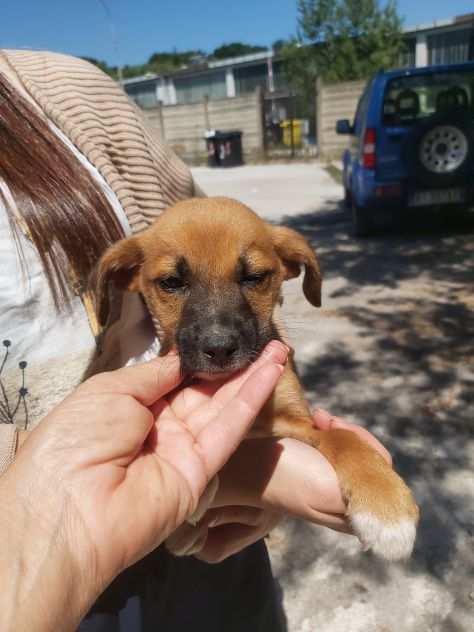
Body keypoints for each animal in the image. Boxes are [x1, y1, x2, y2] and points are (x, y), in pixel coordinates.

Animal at [92, 196, 418, 556]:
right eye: (171, 282)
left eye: (254, 276)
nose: (219, 348)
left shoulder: (295, 422)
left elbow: (344, 437)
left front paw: (385, 505)